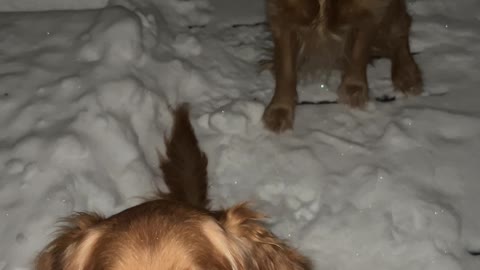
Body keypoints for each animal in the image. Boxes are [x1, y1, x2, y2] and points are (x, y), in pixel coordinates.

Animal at [262, 0, 424, 132]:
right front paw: (280, 110)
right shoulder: (283, 16)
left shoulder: (369, 11)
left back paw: (407, 75)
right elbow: (286, 70)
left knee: (401, 28)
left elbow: (358, 53)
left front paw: (353, 88)